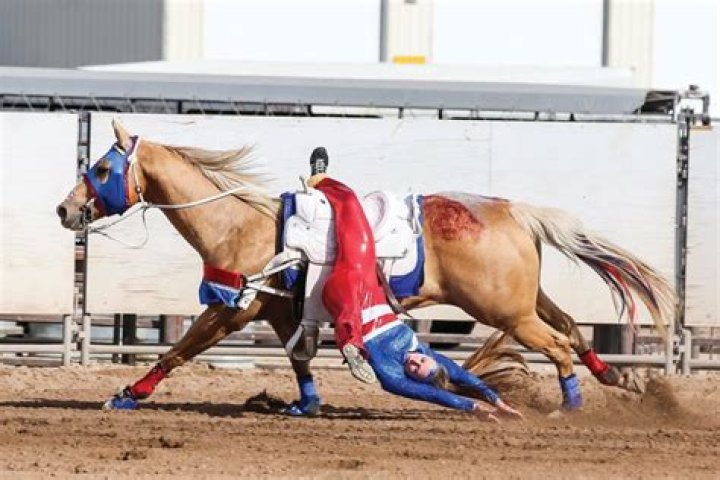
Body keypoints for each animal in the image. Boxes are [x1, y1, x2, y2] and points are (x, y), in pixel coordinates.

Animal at [56, 120, 676, 414]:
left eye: (103, 167)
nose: (65, 209)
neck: (240, 225)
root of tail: (513, 210)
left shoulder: (232, 311)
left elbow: (179, 349)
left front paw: (126, 394)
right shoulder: (279, 310)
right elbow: (298, 359)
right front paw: (304, 404)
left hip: (507, 311)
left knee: (558, 346)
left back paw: (569, 408)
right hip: (526, 301)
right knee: (573, 331)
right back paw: (619, 379)